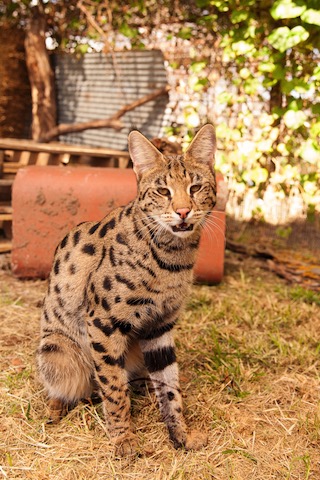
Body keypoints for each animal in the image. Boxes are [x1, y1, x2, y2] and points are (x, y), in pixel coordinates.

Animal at [37, 123, 218, 454]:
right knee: (72, 384)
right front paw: (123, 439)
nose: (183, 212)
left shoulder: (161, 325)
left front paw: (180, 433)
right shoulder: (102, 322)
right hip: (55, 348)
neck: (172, 258)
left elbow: (170, 386)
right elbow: (113, 387)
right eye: (163, 191)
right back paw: (59, 407)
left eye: (195, 188)